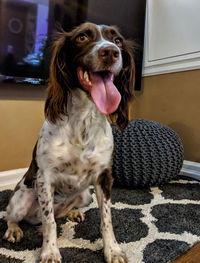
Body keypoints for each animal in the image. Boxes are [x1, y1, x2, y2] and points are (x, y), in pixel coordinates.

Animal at [3, 22, 134, 263]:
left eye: (118, 40)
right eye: (82, 37)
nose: (111, 52)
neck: (83, 119)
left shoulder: (103, 177)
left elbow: (106, 220)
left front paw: (112, 250)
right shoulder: (45, 177)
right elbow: (50, 222)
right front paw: (49, 252)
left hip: (84, 195)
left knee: (61, 213)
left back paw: (73, 212)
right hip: (21, 199)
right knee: (15, 216)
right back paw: (14, 230)